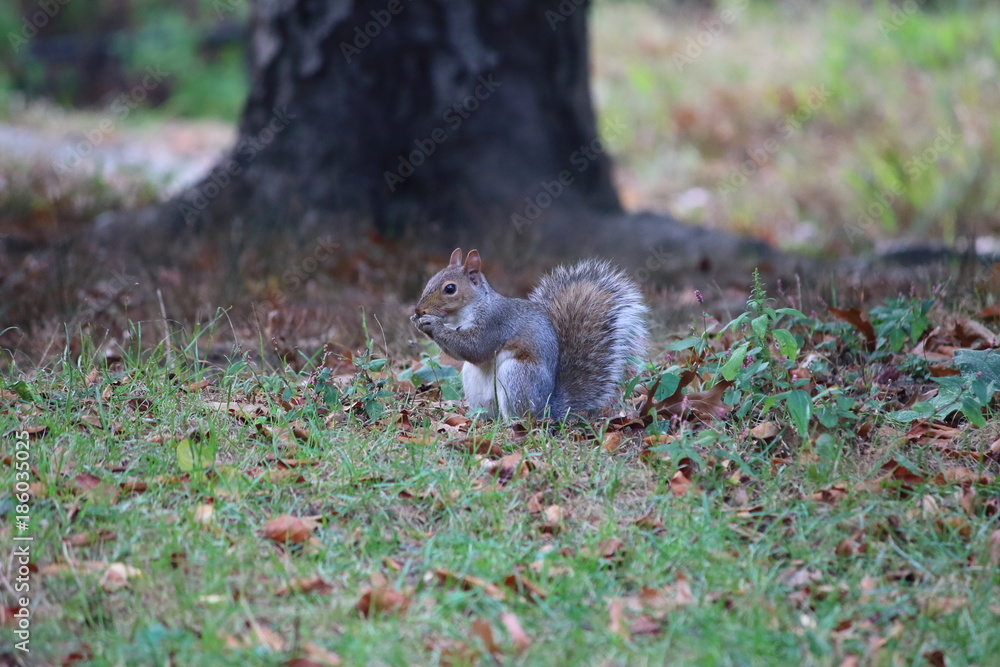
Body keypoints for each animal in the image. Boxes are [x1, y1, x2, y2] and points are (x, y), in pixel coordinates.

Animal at [408, 248, 648, 420]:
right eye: (430, 280)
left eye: (450, 289)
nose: (419, 310)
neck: (466, 312)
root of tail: (548, 408)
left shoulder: (496, 323)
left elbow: (475, 348)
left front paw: (431, 324)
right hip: (473, 382)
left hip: (518, 376)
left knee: (521, 416)